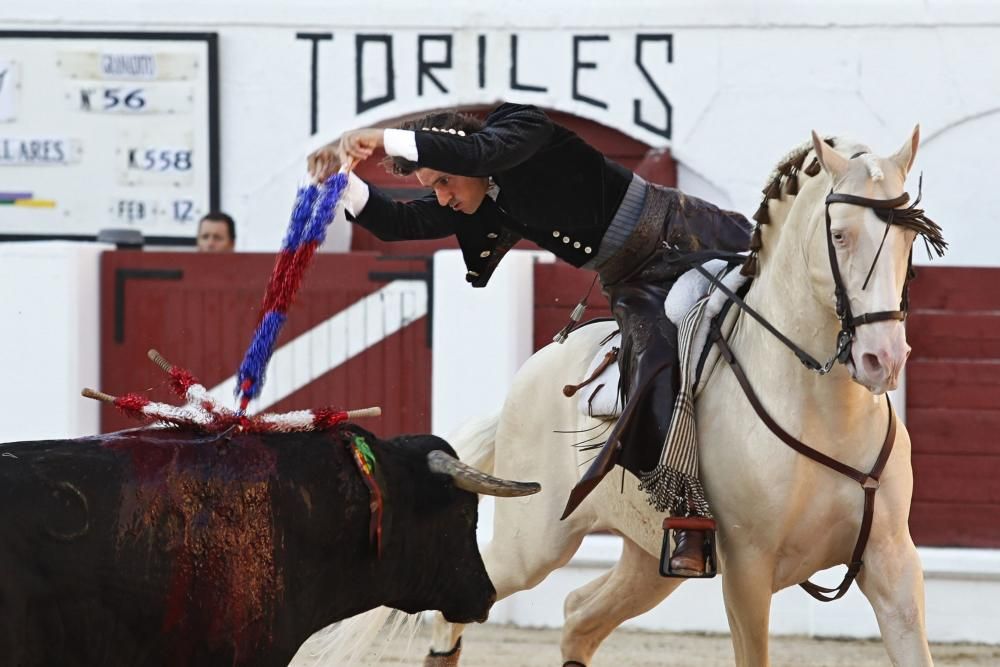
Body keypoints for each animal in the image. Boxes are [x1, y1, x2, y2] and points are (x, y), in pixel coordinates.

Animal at [324, 128, 940, 664]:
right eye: (839, 235)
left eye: (910, 237)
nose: (883, 358)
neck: (824, 409)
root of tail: (534, 371)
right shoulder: (747, 572)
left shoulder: (893, 562)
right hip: (535, 543)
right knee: (465, 603)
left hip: (650, 557)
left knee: (578, 616)